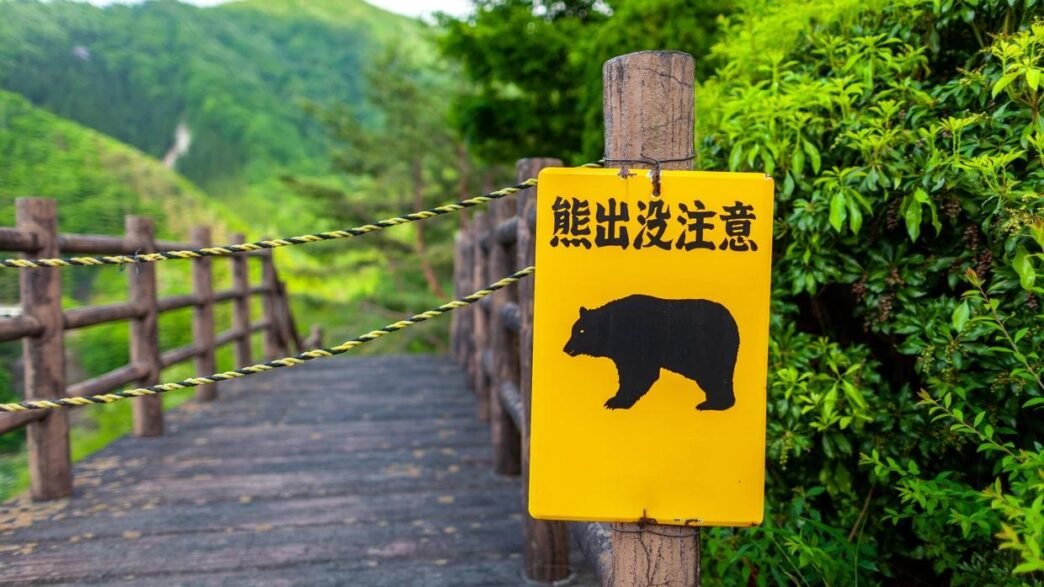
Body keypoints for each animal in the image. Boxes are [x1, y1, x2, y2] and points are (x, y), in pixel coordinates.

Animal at [563, 295, 740, 411]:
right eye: (573, 330)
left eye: (581, 330)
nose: (565, 348)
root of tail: (732, 321)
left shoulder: (637, 344)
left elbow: (640, 373)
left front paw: (615, 401)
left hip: (711, 351)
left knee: (716, 376)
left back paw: (713, 404)